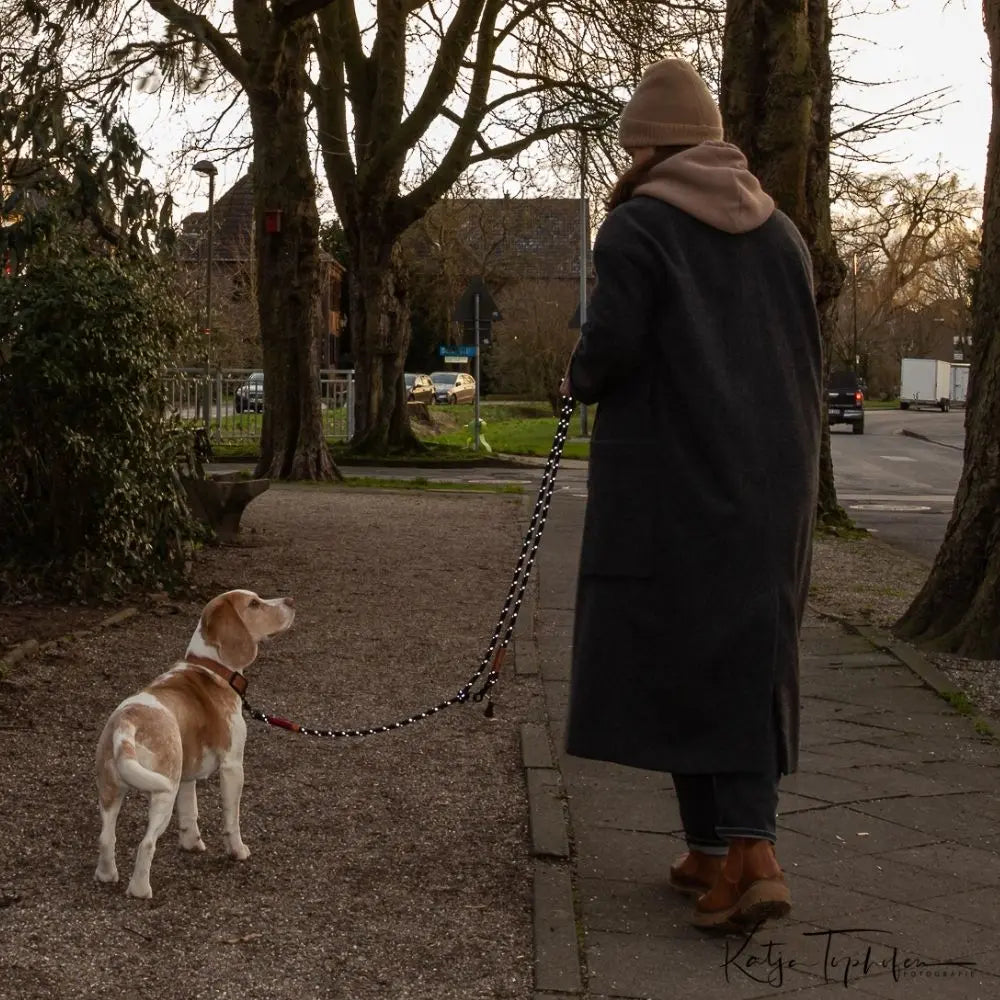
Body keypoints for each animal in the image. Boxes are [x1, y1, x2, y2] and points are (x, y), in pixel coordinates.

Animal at [94, 588, 294, 896]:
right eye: (254, 604)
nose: (291, 601)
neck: (212, 668)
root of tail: (127, 723)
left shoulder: (187, 776)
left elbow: (190, 812)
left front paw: (191, 844)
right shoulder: (233, 766)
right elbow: (231, 817)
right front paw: (237, 851)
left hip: (110, 791)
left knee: (106, 838)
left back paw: (107, 875)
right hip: (163, 792)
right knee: (146, 844)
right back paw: (140, 890)